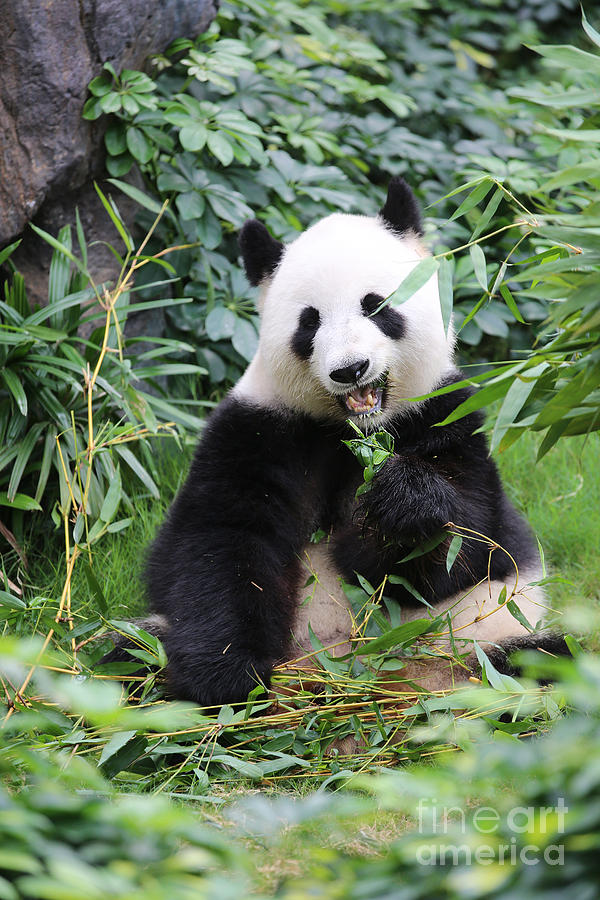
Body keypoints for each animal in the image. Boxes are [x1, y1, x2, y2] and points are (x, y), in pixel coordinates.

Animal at [137, 179, 568, 708]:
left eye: (376, 305)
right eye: (309, 322)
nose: (351, 369)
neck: (353, 431)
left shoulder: (445, 416)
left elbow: (465, 547)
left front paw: (401, 500)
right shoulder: (259, 429)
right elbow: (221, 543)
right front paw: (226, 679)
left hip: (487, 645)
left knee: (546, 662)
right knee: (123, 657)